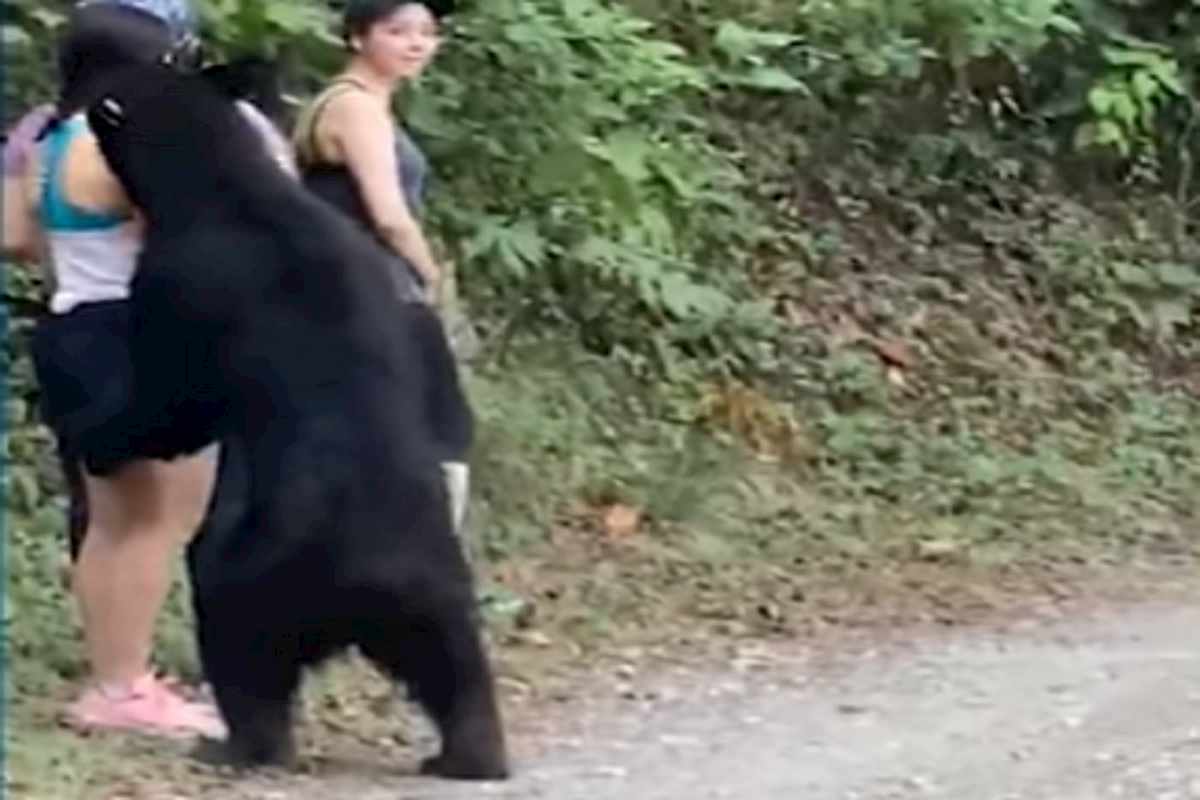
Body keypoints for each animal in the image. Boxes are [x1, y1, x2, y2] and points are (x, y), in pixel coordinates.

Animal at [83, 63, 506, 780]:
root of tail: (366, 582)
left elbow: (171, 401)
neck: (222, 182)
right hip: (437, 588)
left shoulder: (182, 281)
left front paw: (102, 435)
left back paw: (237, 745)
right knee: (457, 666)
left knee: (238, 644)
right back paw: (469, 754)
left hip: (261, 575)